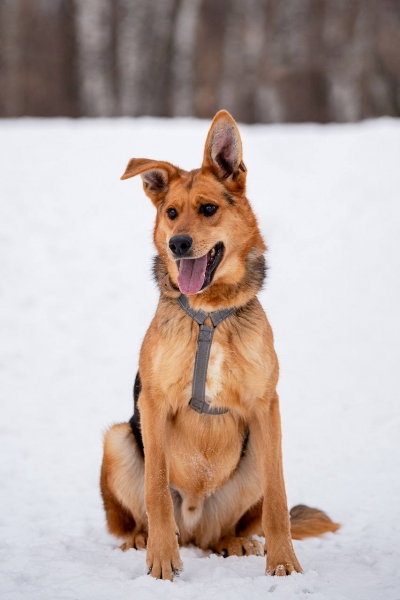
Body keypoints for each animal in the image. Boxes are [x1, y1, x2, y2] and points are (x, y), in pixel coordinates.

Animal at [100, 110, 339, 581]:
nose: (178, 244)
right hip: (118, 440)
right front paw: (161, 559)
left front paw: (283, 562)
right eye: (171, 213)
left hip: (255, 459)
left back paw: (237, 542)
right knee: (139, 517)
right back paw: (143, 539)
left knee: (233, 527)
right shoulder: (152, 404)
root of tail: (195, 525)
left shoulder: (266, 407)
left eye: (208, 209)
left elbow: (279, 501)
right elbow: (156, 491)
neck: (210, 313)